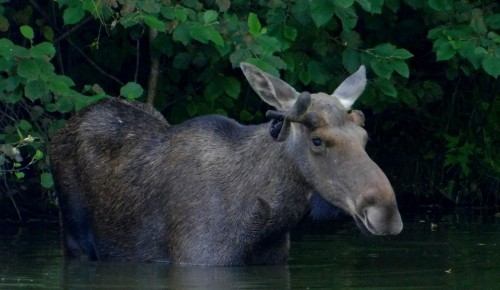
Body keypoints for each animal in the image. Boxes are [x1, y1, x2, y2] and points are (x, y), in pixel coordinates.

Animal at [50, 62, 402, 266]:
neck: (267, 222)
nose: (386, 212)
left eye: (364, 136)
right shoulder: (197, 259)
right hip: (75, 236)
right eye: (317, 140)